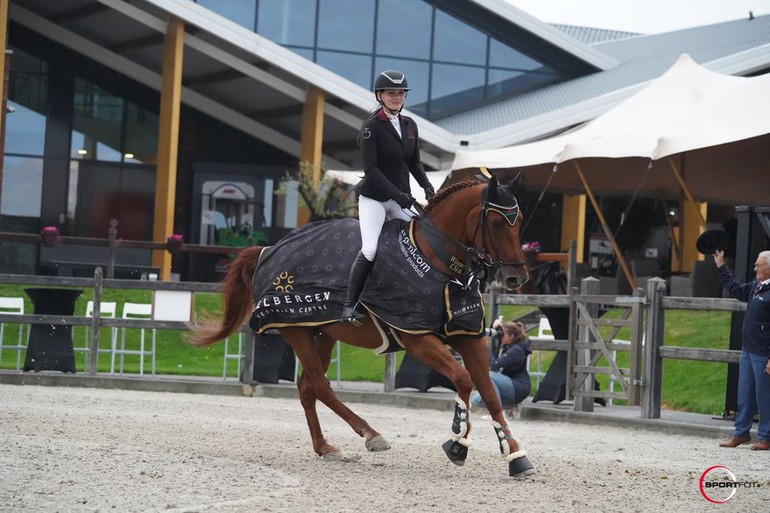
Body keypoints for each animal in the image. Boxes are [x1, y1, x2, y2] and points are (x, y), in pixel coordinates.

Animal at [189, 175, 532, 476]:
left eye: (520, 220)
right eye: (497, 222)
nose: (517, 278)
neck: (440, 264)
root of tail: (267, 250)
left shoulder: (468, 336)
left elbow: (489, 392)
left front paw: (516, 456)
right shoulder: (417, 338)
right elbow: (463, 379)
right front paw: (458, 441)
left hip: (321, 332)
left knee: (306, 387)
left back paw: (325, 447)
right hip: (296, 330)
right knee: (320, 386)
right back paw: (370, 434)